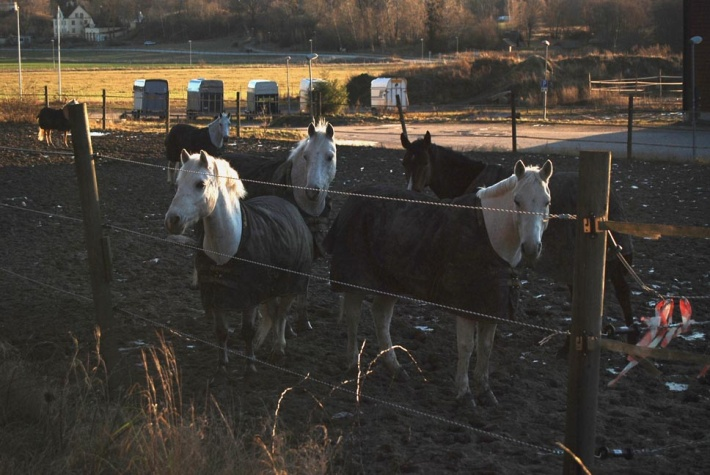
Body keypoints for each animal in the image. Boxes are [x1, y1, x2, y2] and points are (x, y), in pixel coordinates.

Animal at [167, 151, 314, 374]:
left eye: (200, 184)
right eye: (177, 183)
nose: (172, 220)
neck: (226, 249)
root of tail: (289, 206)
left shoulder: (250, 298)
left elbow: (247, 331)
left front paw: (250, 365)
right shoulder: (216, 296)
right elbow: (221, 331)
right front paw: (222, 364)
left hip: (290, 285)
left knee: (281, 315)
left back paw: (278, 350)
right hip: (270, 289)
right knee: (274, 313)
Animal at [326, 160, 552, 410]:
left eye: (547, 202)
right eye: (517, 201)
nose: (531, 248)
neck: (488, 233)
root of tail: (355, 196)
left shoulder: (491, 306)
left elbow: (486, 348)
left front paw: (486, 392)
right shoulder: (465, 306)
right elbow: (467, 347)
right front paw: (464, 394)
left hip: (389, 282)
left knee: (381, 318)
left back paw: (395, 368)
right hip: (356, 278)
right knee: (354, 316)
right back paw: (352, 364)